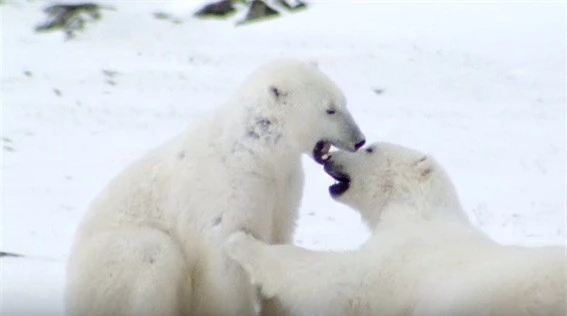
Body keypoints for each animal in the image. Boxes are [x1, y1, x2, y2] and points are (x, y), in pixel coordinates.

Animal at [65, 59, 368, 316]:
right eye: (330, 109)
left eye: (343, 102)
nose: (360, 140)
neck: (256, 152)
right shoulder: (229, 188)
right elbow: (225, 261)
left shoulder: (283, 188)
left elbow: (276, 245)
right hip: (109, 264)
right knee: (153, 252)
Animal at [226, 142, 567, 314]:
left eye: (369, 149)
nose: (329, 156)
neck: (417, 209)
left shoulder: (400, 255)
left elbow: (336, 279)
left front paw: (239, 241)